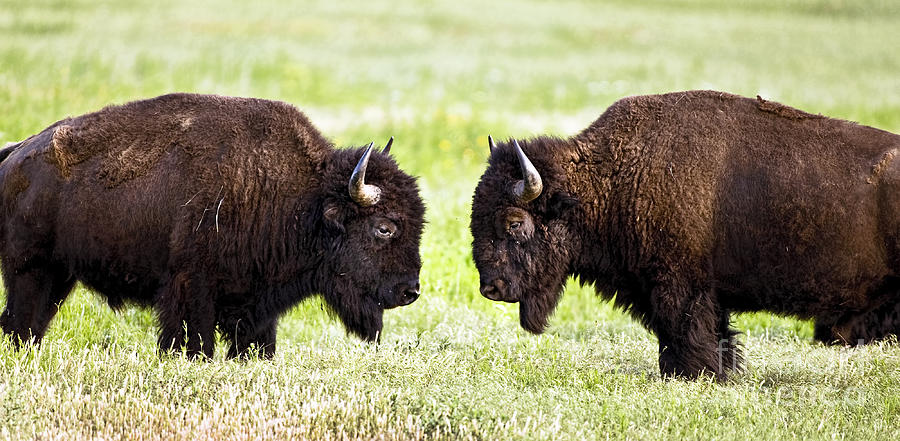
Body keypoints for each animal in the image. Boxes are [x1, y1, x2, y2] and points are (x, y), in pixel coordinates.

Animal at [0, 93, 426, 358]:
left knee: (28, 327)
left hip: (58, 276)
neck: (306, 200)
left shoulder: (257, 307)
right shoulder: (192, 288)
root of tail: (15, 155)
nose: (410, 291)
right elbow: (194, 344)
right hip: (29, 271)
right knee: (20, 324)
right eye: (385, 228)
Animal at [472, 89, 900, 378]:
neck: (611, 179)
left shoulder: (681, 285)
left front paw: (694, 375)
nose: (490, 288)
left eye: (515, 223)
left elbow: (688, 332)